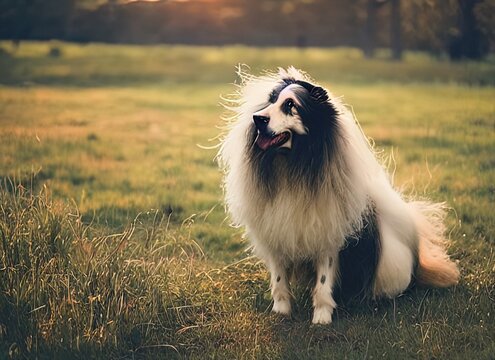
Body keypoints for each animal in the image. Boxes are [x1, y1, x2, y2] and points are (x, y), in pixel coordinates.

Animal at [219, 66, 460, 324]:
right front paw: (281, 311)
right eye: (271, 101)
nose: (257, 118)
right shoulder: (276, 234)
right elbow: (279, 279)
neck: (293, 163)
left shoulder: (328, 236)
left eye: (290, 105)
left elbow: (324, 283)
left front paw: (321, 318)